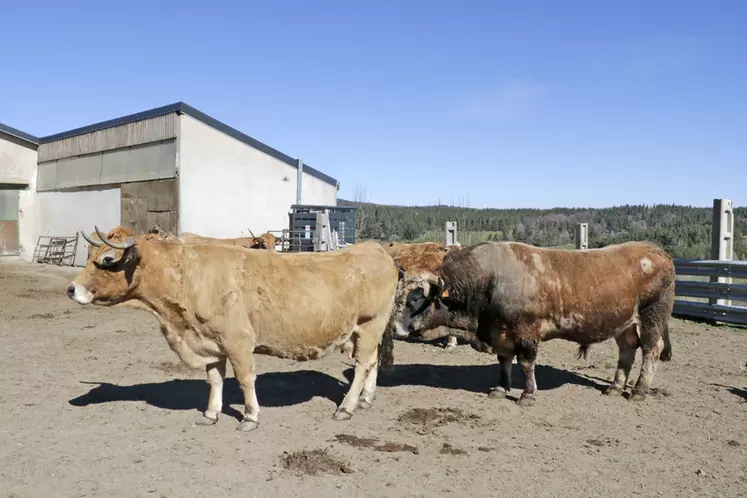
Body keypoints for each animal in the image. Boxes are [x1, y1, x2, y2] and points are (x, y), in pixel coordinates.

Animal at [67, 227, 400, 432]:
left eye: (106, 259)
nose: (71, 289)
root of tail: (376, 249)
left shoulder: (237, 340)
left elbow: (244, 379)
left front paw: (250, 416)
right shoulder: (210, 341)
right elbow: (215, 380)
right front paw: (211, 413)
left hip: (370, 324)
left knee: (362, 365)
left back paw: (347, 407)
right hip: (366, 330)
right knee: (370, 363)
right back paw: (366, 399)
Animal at [394, 239, 676, 406]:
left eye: (417, 299)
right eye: (399, 296)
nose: (396, 328)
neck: (492, 279)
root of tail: (655, 250)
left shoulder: (527, 332)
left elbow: (526, 363)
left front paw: (527, 394)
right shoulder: (501, 333)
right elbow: (504, 361)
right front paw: (500, 388)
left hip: (652, 317)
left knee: (651, 350)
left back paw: (639, 390)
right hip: (624, 323)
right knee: (627, 351)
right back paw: (616, 387)